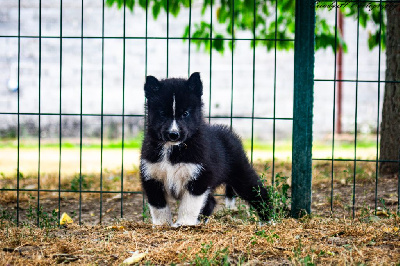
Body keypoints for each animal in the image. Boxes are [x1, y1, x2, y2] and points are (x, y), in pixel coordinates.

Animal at [139, 71, 274, 225]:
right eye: (162, 113)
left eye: (185, 113)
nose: (174, 134)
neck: (173, 150)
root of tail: (229, 134)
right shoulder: (151, 176)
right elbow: (158, 206)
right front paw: (162, 225)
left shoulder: (200, 176)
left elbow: (189, 204)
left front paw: (184, 224)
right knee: (211, 202)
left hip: (240, 173)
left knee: (258, 192)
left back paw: (268, 219)